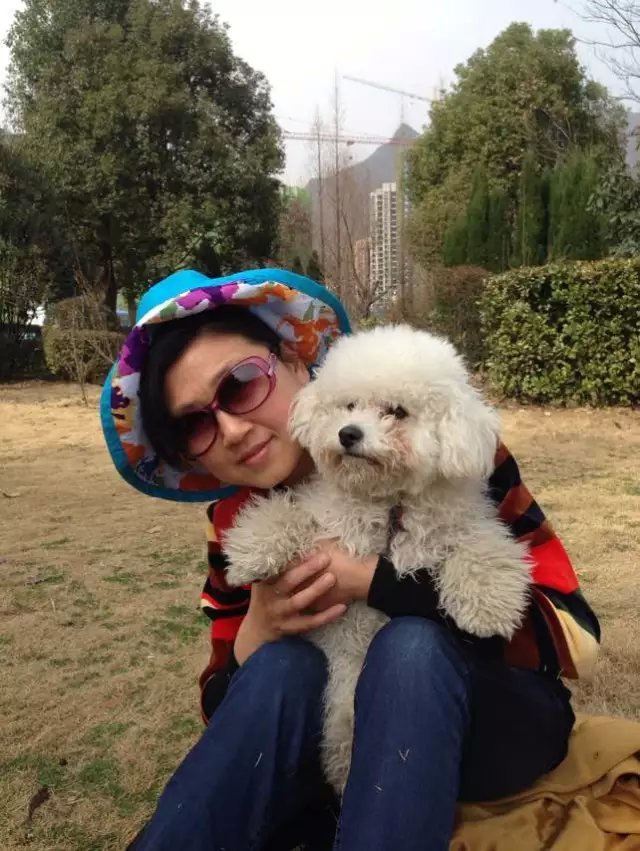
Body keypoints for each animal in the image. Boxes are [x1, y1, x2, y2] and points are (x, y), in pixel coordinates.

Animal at [223, 325, 531, 792]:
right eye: (348, 405)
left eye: (397, 412)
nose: (348, 433)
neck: (387, 504)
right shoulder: (325, 520)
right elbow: (285, 514)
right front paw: (250, 554)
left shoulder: (465, 526)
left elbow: (483, 551)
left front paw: (486, 611)